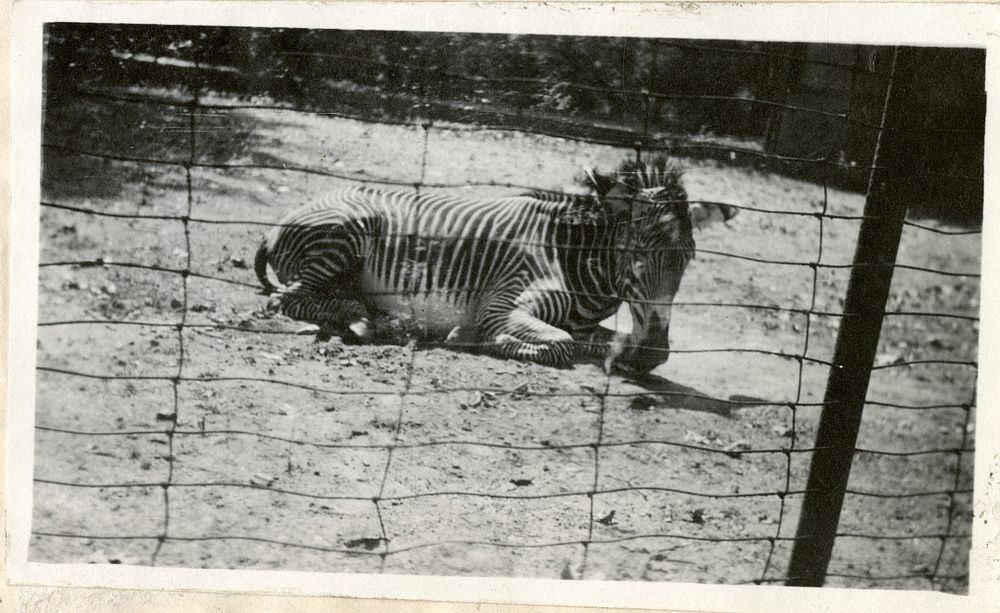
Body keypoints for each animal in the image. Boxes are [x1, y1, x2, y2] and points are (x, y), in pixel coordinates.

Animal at [256, 155, 728, 370]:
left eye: (688, 259)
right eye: (637, 254)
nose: (655, 353)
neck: (571, 257)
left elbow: (598, 339)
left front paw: (621, 350)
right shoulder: (503, 305)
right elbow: (560, 344)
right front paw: (470, 337)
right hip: (345, 234)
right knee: (285, 300)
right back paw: (360, 319)